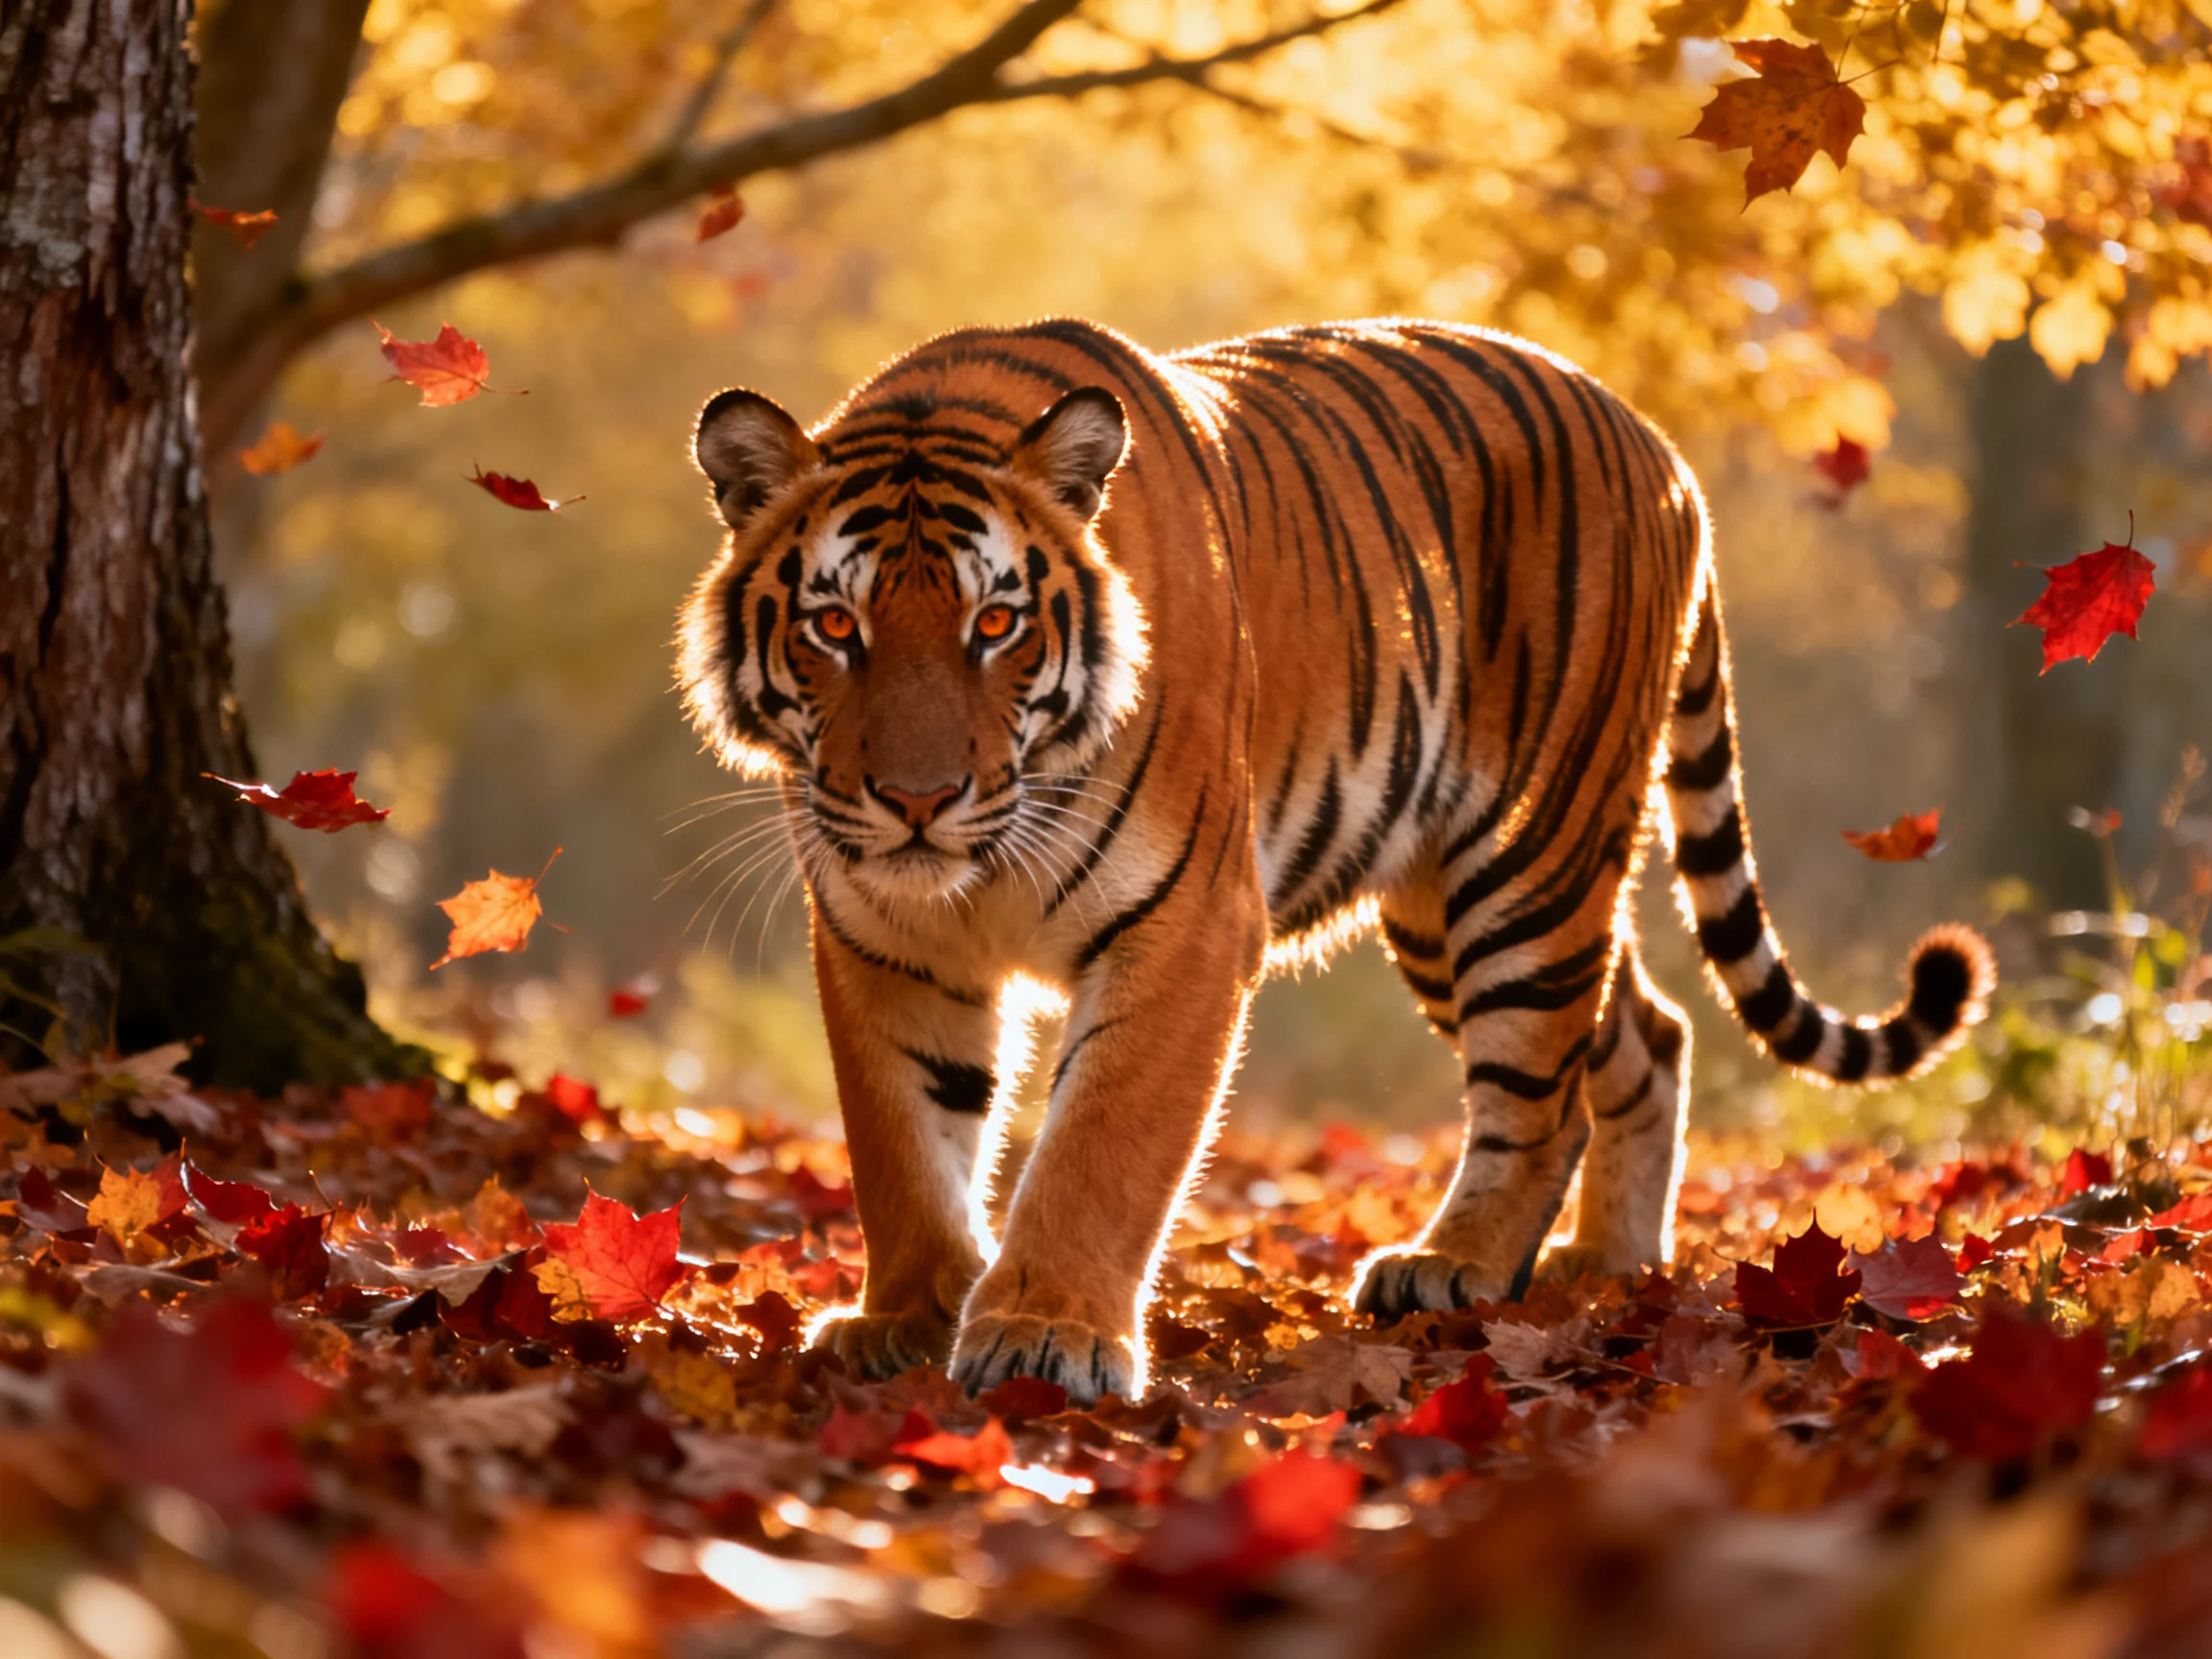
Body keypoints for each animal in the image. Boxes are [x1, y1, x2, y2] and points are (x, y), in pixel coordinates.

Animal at [676, 316, 1993, 1407]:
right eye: (835, 626)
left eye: (993, 624)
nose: (916, 802)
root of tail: (1661, 447)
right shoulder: (879, 935)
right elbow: (901, 1137)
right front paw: (906, 1318)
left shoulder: (1187, 923)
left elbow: (1099, 1145)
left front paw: (1043, 1332)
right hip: (1444, 899)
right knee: (1642, 1034)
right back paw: (1609, 1266)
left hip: (1528, 858)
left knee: (1539, 1089)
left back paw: (1456, 1265)